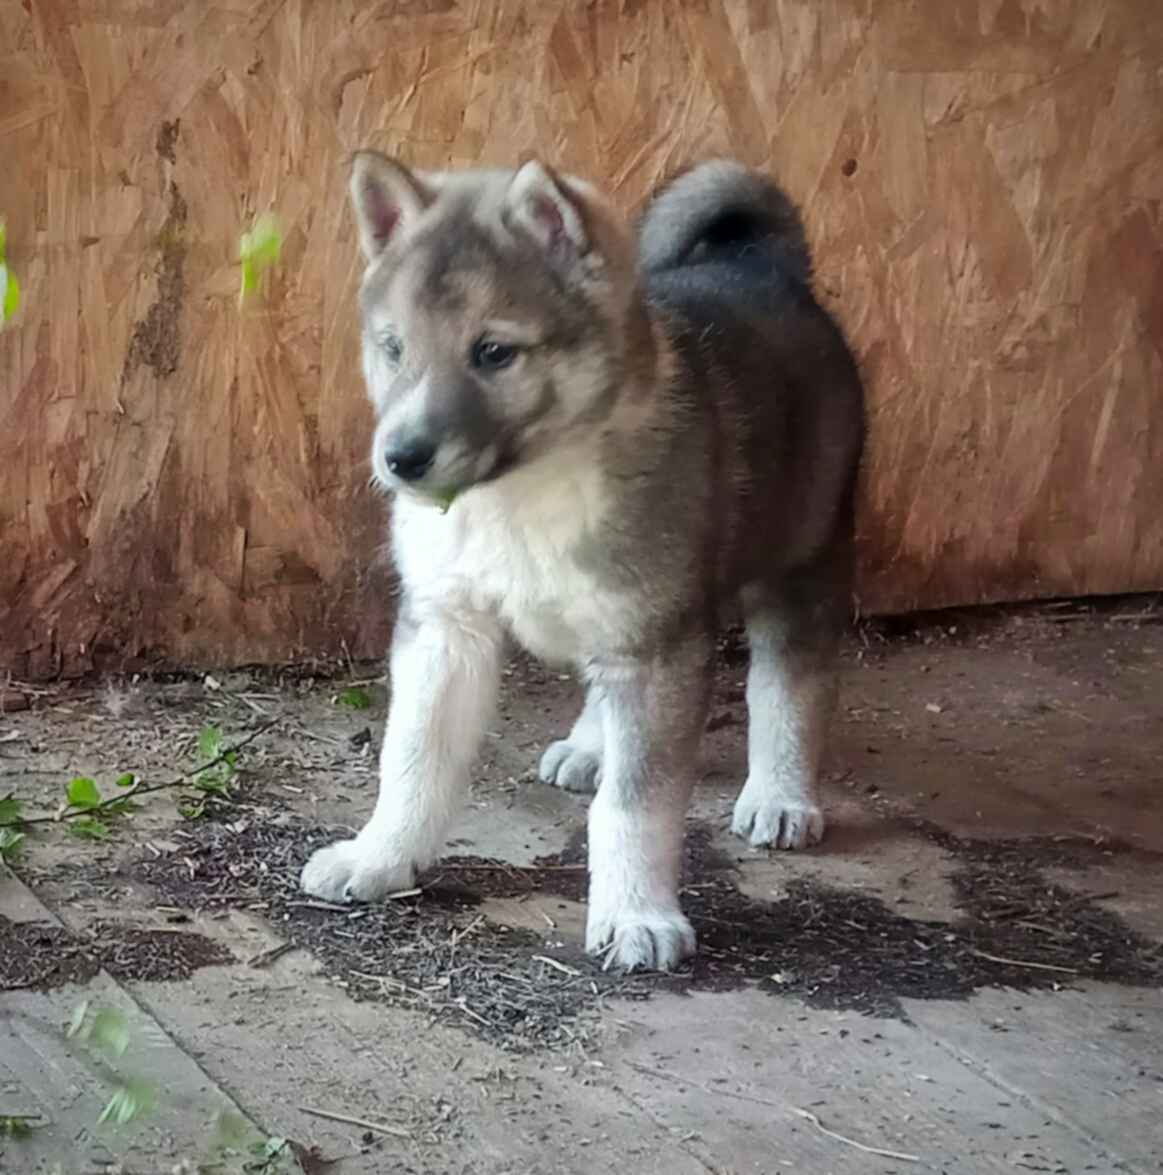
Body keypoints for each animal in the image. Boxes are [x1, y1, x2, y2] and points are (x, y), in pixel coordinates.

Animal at [300, 151, 864, 968]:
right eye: (393, 346)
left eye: (494, 352)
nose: (402, 459)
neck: (520, 491)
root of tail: (765, 264)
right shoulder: (448, 628)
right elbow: (411, 760)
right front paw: (379, 856)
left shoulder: (656, 643)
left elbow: (637, 804)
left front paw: (636, 916)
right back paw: (591, 746)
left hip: (800, 556)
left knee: (789, 684)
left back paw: (779, 795)